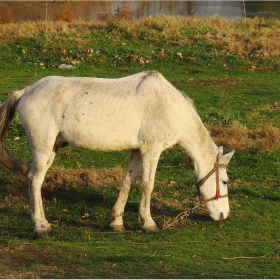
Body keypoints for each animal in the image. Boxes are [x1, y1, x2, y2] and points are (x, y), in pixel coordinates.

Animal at [0, 71, 234, 237]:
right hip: (42, 147)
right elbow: (147, 185)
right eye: (224, 181)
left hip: (51, 149)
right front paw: (148, 223)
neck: (168, 105)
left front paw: (117, 221)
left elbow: (128, 183)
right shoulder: (151, 150)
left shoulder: (138, 151)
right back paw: (41, 227)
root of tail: (25, 91)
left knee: (36, 180)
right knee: (34, 180)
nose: (224, 215)